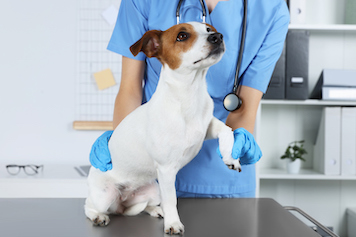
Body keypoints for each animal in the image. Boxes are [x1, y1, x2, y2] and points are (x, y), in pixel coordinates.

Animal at [85, 22, 242, 235]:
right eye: (182, 36)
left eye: (209, 29)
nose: (218, 37)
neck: (189, 96)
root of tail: (121, 203)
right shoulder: (167, 170)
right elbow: (172, 200)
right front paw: (173, 224)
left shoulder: (206, 126)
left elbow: (226, 129)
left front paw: (231, 157)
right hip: (105, 196)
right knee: (89, 205)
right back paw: (98, 216)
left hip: (153, 190)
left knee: (143, 205)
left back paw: (156, 210)